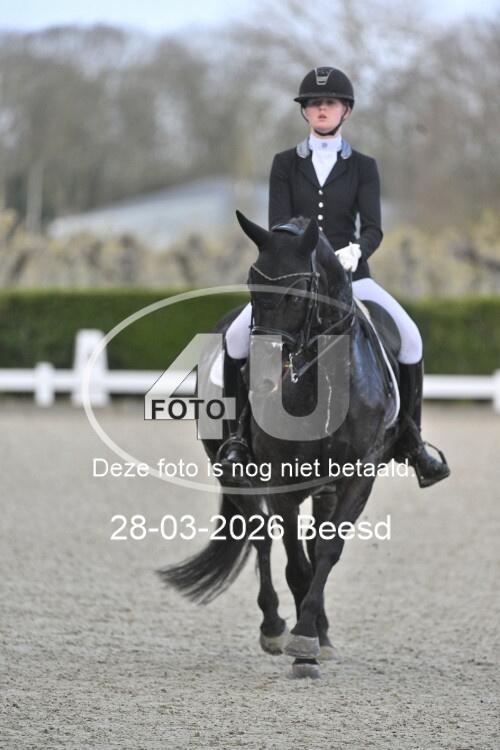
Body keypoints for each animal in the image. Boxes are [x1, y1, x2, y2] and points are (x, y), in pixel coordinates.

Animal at [158, 211, 403, 678]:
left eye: (297, 290)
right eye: (252, 283)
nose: (263, 376)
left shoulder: (357, 477)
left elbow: (326, 551)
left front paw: (312, 637)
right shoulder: (282, 480)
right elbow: (294, 562)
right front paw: (301, 641)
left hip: (324, 488)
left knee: (308, 542)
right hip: (235, 473)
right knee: (261, 536)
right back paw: (273, 626)